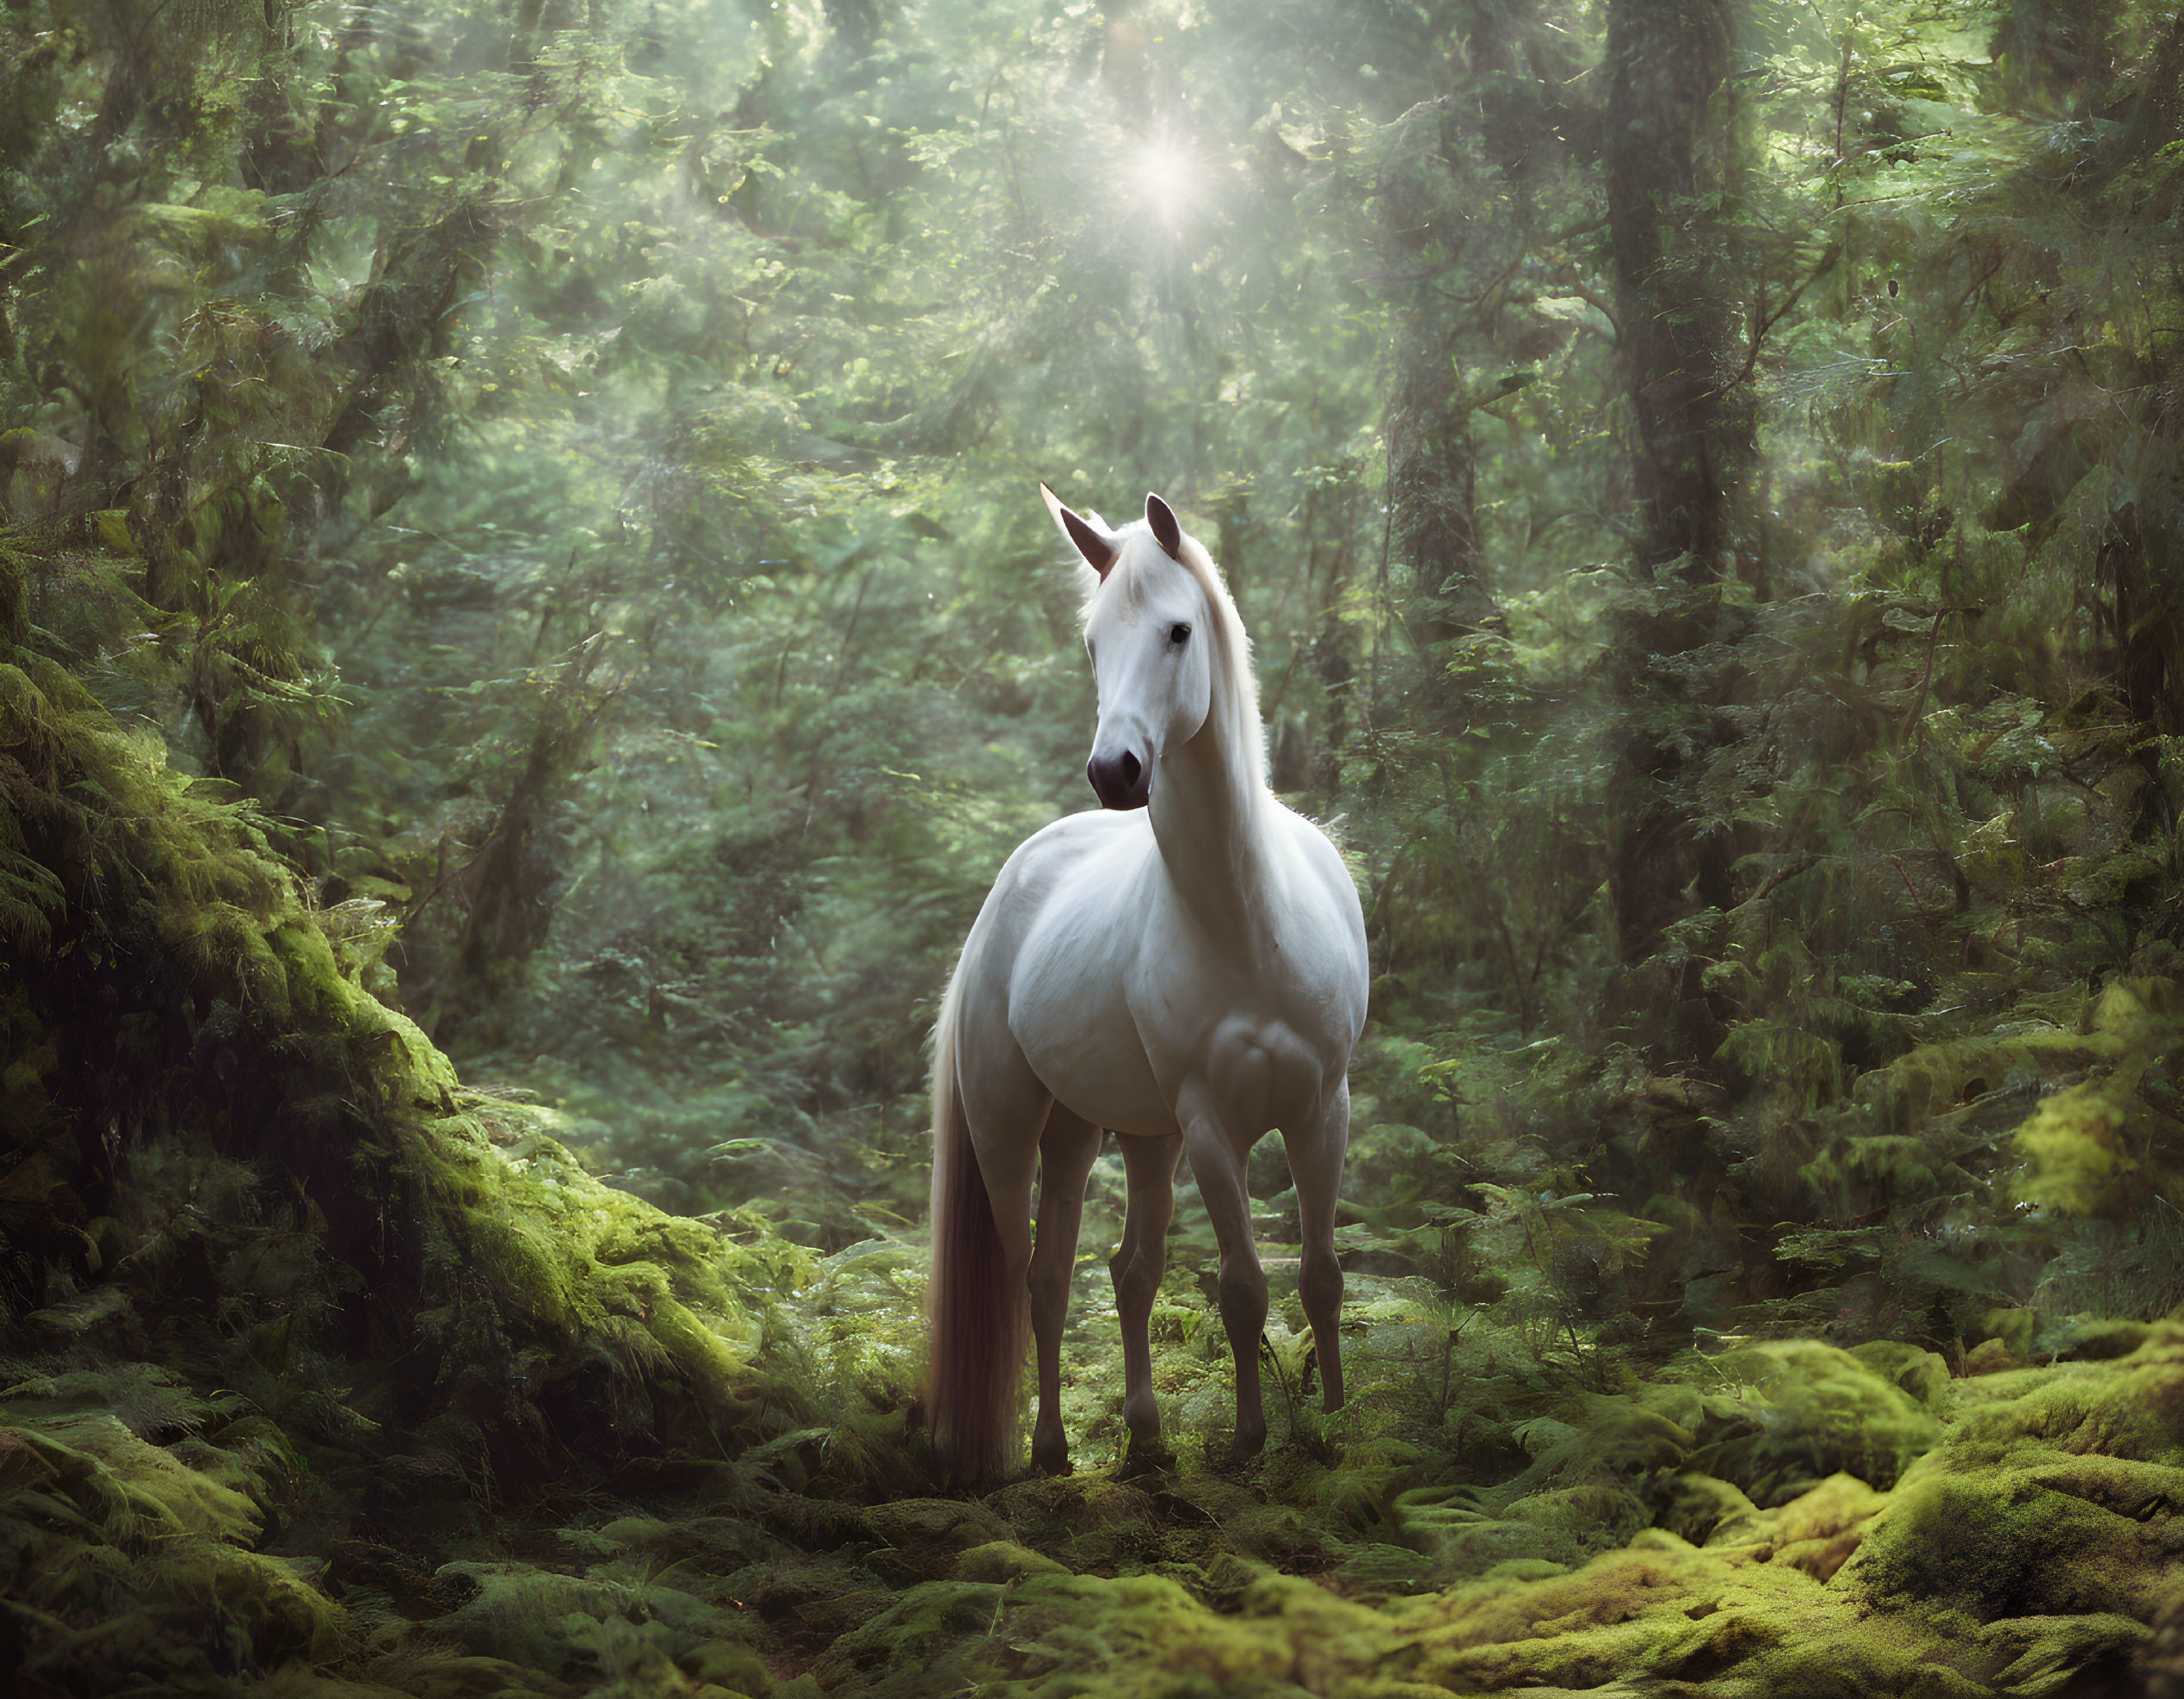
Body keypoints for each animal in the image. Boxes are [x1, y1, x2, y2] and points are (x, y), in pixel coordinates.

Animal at [930, 480, 1371, 1485]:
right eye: (1094, 642)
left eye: (1177, 630)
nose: (1115, 771)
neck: (1249, 924)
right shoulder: (1211, 1124)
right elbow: (1243, 1288)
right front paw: (1248, 1439)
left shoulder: (1321, 1107)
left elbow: (1321, 1277)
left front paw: (1332, 1427)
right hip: (1017, 1133)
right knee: (1033, 1279)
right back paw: (1045, 1447)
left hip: (1120, 1135)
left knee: (1122, 1274)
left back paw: (1143, 1435)